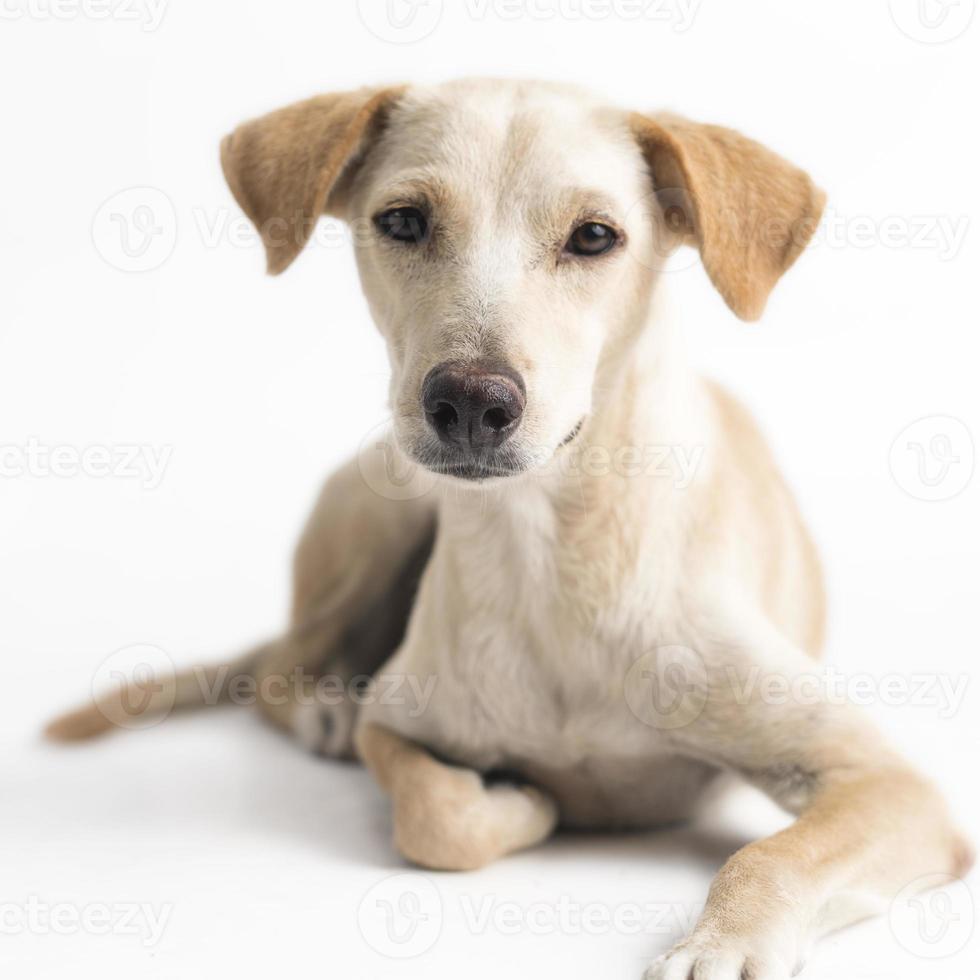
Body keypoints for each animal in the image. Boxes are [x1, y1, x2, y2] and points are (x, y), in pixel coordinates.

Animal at [53, 78, 972, 980]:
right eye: (403, 221)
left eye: (595, 236)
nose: (470, 401)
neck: (551, 559)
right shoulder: (399, 721)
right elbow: (435, 817)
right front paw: (519, 801)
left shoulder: (886, 782)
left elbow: (772, 854)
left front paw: (724, 945)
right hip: (384, 513)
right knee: (284, 662)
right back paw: (325, 710)